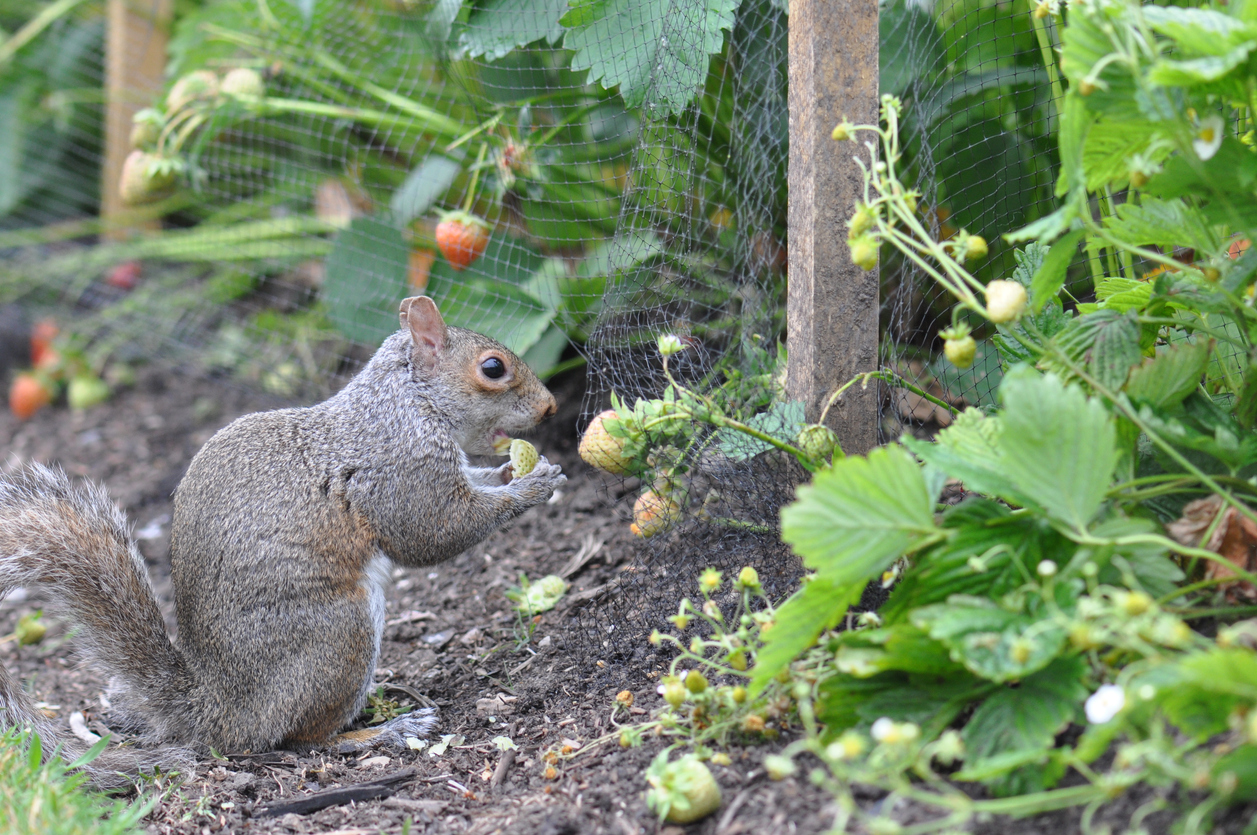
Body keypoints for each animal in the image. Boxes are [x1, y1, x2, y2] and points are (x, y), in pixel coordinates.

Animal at [0, 298, 565, 784]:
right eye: (493, 368)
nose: (552, 407)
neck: (407, 402)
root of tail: (218, 711)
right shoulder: (400, 469)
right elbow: (434, 533)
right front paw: (529, 487)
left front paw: (513, 471)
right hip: (338, 635)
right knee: (300, 740)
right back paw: (381, 731)